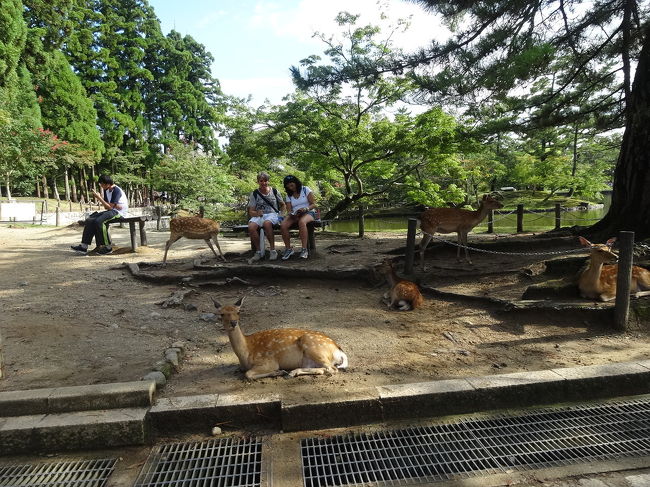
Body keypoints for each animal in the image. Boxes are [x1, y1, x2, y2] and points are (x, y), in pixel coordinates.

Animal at [212, 296, 348, 379]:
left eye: (238, 312)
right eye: (222, 314)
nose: (233, 322)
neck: (245, 354)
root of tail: (338, 350)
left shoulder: (268, 361)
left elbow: (248, 374)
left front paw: (278, 371)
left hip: (314, 347)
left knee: (332, 369)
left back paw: (289, 372)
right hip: (311, 360)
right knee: (323, 369)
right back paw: (292, 372)